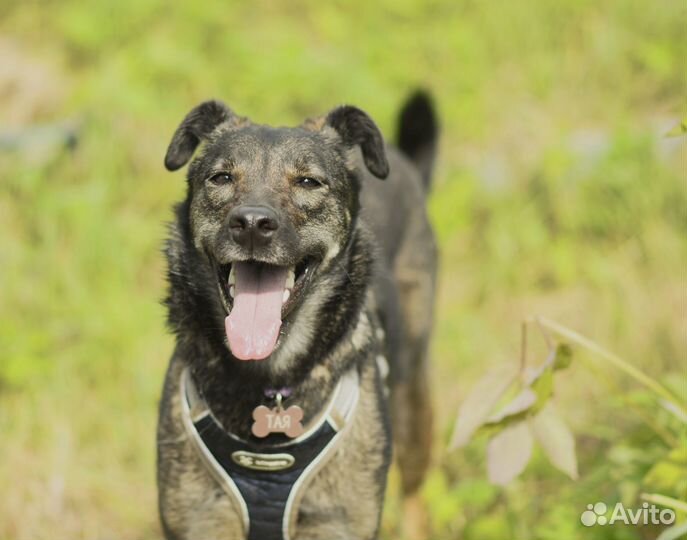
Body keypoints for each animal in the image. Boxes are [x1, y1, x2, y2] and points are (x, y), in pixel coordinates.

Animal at [158, 90, 438, 536]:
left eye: (308, 182)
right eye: (221, 178)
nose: (252, 224)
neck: (269, 381)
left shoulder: (336, 523)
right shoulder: (200, 518)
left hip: (413, 402)